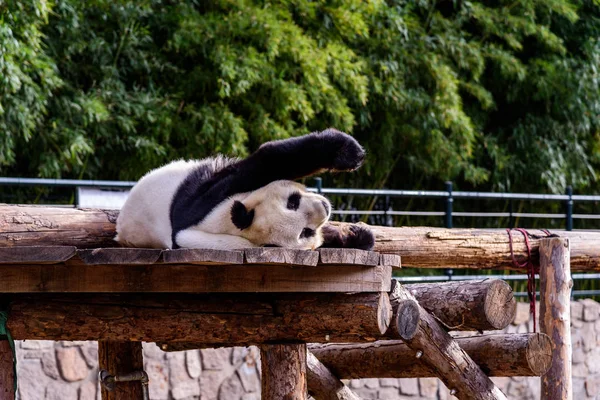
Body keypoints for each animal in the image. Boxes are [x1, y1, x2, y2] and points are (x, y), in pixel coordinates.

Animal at [114, 129, 372, 250]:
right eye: (304, 232)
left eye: (292, 202)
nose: (324, 208)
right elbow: (272, 157)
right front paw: (348, 152)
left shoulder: (212, 196)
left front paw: (358, 235)